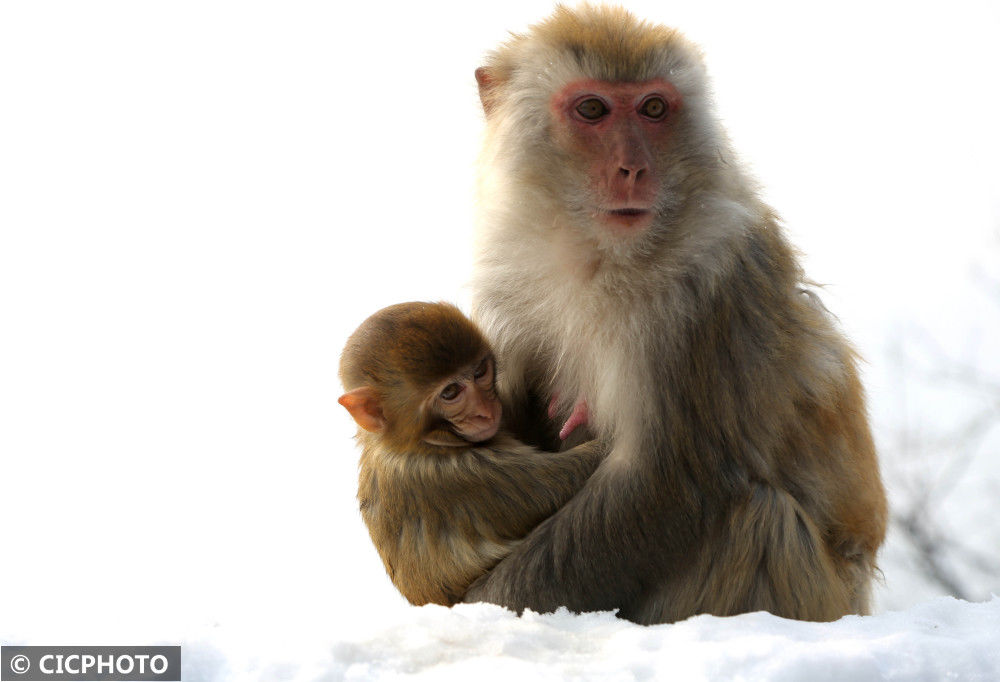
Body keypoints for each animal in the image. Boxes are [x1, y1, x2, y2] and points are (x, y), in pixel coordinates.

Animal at [338, 300, 600, 604]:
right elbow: (566, 477)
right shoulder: (451, 476)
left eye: (479, 372)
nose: (486, 412)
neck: (408, 443)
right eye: (451, 392)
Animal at [464, 5, 888, 620]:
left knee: (758, 520)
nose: (633, 169)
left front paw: (486, 605)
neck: (596, 257)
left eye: (653, 109)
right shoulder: (507, 281)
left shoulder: (707, 289)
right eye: (592, 110)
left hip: (818, 596)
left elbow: (666, 481)